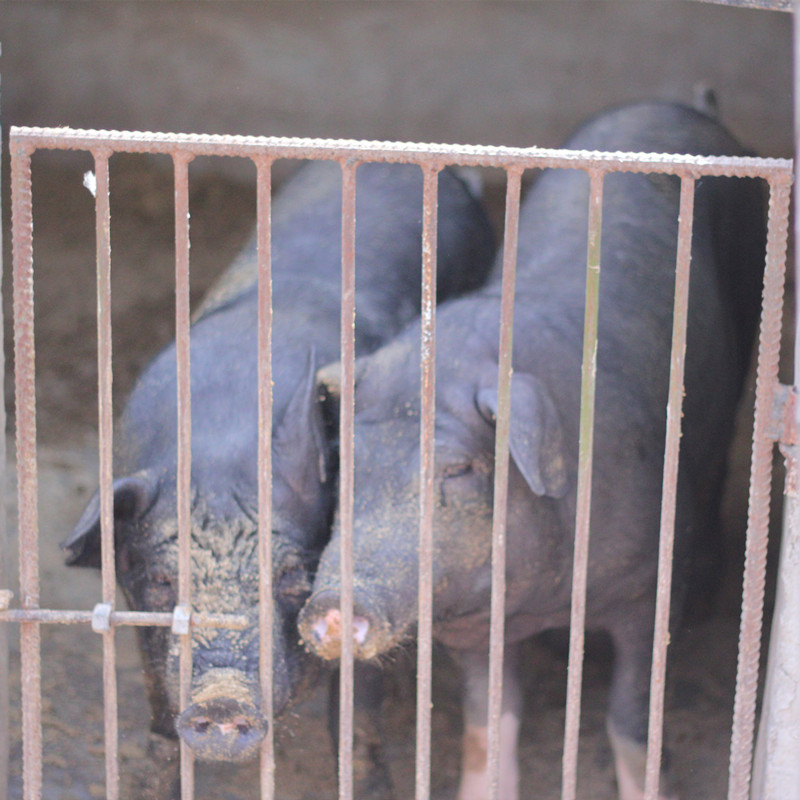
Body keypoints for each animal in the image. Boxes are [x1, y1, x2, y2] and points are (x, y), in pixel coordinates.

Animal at [62, 161, 496, 792]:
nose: (222, 699)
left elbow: (357, 714)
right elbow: (161, 724)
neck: (223, 444)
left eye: (291, 575)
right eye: (163, 582)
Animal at [300, 103, 768, 796]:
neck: (542, 598)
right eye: (346, 467)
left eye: (458, 469)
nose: (331, 607)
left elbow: (630, 716)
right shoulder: (473, 627)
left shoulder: (646, 591)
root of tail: (680, 107)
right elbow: (488, 722)